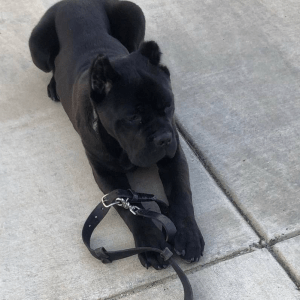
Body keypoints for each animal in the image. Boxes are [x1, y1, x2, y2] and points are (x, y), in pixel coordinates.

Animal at [29, 0, 204, 270]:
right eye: (133, 117)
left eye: (168, 105)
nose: (164, 138)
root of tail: (71, 2)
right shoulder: (107, 175)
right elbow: (129, 210)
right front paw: (150, 244)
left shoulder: (173, 157)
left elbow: (181, 193)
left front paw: (188, 236)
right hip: (37, 46)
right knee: (50, 66)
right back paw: (53, 86)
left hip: (134, 13)